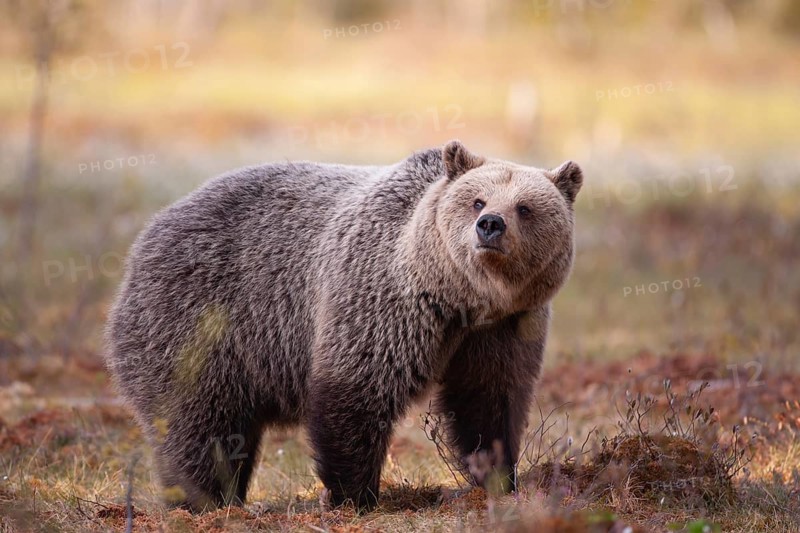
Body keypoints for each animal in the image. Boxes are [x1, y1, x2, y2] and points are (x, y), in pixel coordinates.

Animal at [105, 140, 582, 512]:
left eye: (525, 207)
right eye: (477, 200)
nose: (490, 225)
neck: (460, 300)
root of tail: (148, 234)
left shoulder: (504, 327)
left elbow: (488, 399)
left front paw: (498, 477)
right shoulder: (381, 300)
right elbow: (357, 389)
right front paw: (354, 494)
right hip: (201, 321)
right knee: (201, 423)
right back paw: (205, 499)